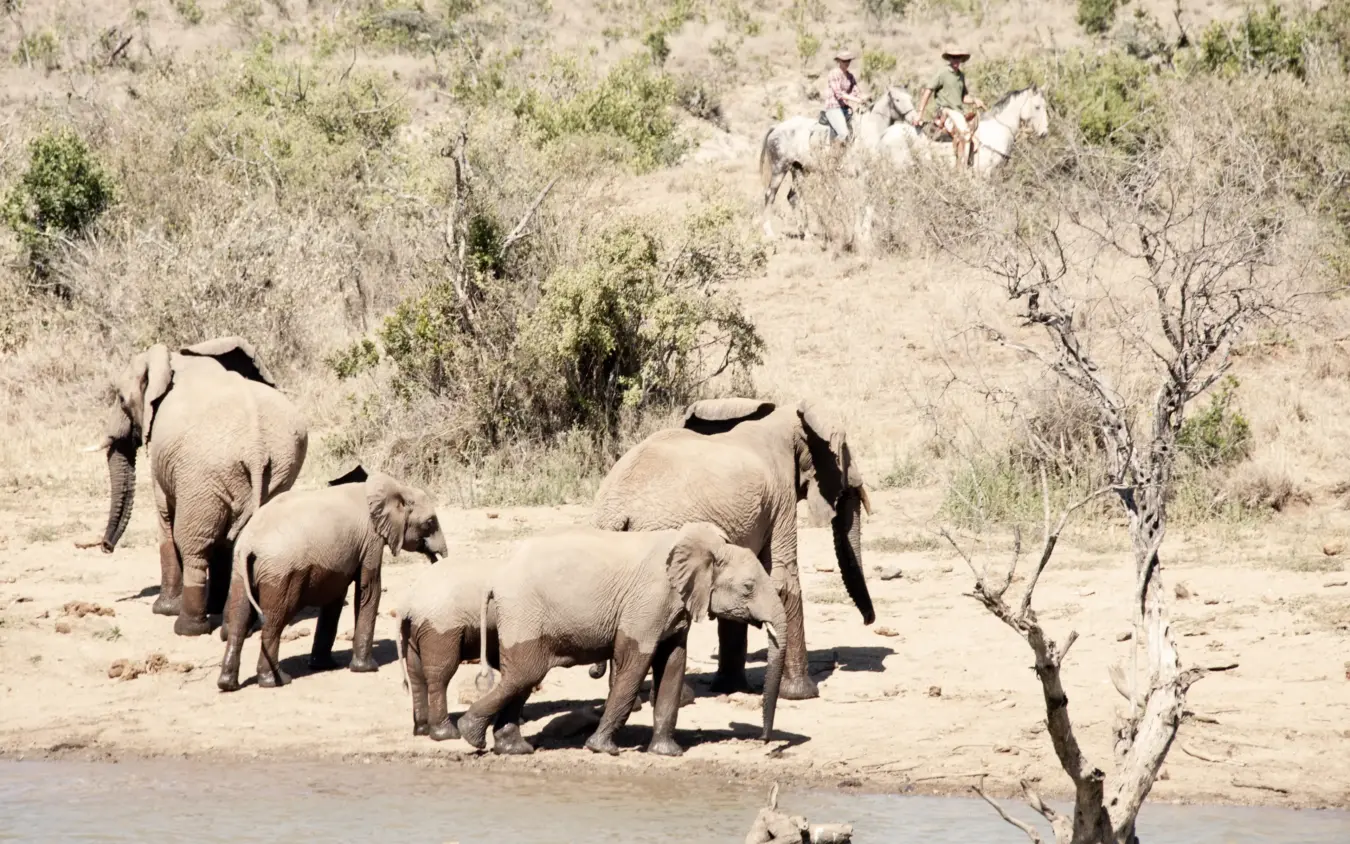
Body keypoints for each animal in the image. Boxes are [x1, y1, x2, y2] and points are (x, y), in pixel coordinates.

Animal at [80, 336, 308, 637]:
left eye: (120, 398)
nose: (106, 547)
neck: (179, 360)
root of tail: (256, 447)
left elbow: (165, 517)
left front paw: (162, 610)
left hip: (204, 474)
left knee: (193, 545)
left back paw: (187, 627)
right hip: (279, 469)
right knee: (237, 545)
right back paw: (235, 626)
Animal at [216, 465, 447, 691]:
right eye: (430, 522)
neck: (394, 488)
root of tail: (249, 545)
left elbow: (335, 597)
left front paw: (324, 665)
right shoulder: (371, 539)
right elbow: (369, 588)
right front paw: (367, 668)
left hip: (240, 571)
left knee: (239, 617)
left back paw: (227, 684)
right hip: (280, 574)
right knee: (274, 620)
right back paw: (275, 681)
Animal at [395, 561, 499, 741]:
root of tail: (407, 605)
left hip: (412, 630)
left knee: (416, 672)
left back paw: (422, 729)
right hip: (440, 630)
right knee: (440, 675)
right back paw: (446, 734)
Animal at [456, 523, 786, 757]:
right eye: (748, 587)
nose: (765, 741)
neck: (709, 546)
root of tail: (496, 579)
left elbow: (673, 663)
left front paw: (668, 753)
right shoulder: (647, 603)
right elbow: (634, 664)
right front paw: (602, 749)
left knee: (523, 678)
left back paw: (514, 749)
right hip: (524, 614)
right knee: (525, 674)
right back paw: (471, 735)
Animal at [591, 398, 874, 702]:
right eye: (844, 456)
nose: (868, 622)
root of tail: (614, 508)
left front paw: (731, 687)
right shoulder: (780, 497)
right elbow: (783, 579)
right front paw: (802, 694)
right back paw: (682, 698)